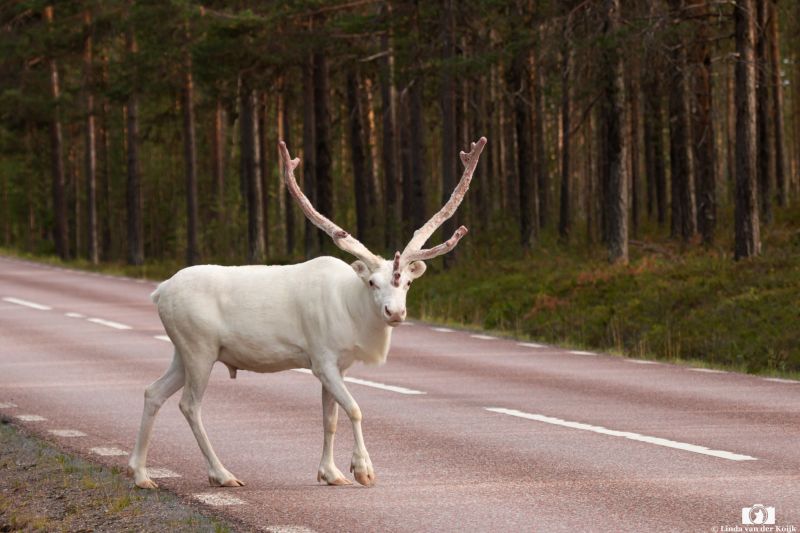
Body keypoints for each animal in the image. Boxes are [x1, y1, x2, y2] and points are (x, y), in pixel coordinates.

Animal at [127, 137, 487, 490]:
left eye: (408, 283)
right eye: (372, 282)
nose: (394, 311)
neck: (352, 314)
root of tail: (160, 291)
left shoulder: (338, 365)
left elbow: (330, 418)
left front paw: (331, 473)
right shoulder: (322, 359)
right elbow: (354, 409)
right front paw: (363, 470)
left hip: (183, 351)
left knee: (153, 392)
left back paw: (141, 474)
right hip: (199, 348)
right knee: (189, 405)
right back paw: (222, 474)